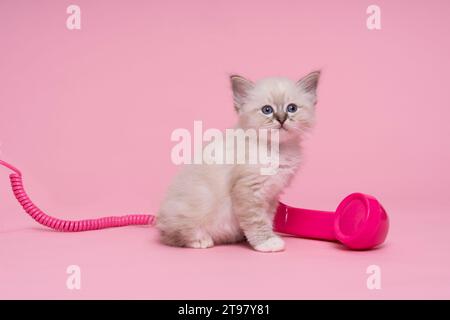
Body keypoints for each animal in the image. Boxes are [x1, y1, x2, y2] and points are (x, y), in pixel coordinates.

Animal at [156, 71, 318, 251]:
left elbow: (267, 219)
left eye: (292, 108)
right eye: (267, 110)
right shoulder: (248, 189)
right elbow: (256, 221)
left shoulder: (271, 195)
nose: (281, 119)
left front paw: (266, 238)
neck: (277, 149)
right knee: (172, 236)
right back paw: (200, 240)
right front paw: (266, 242)